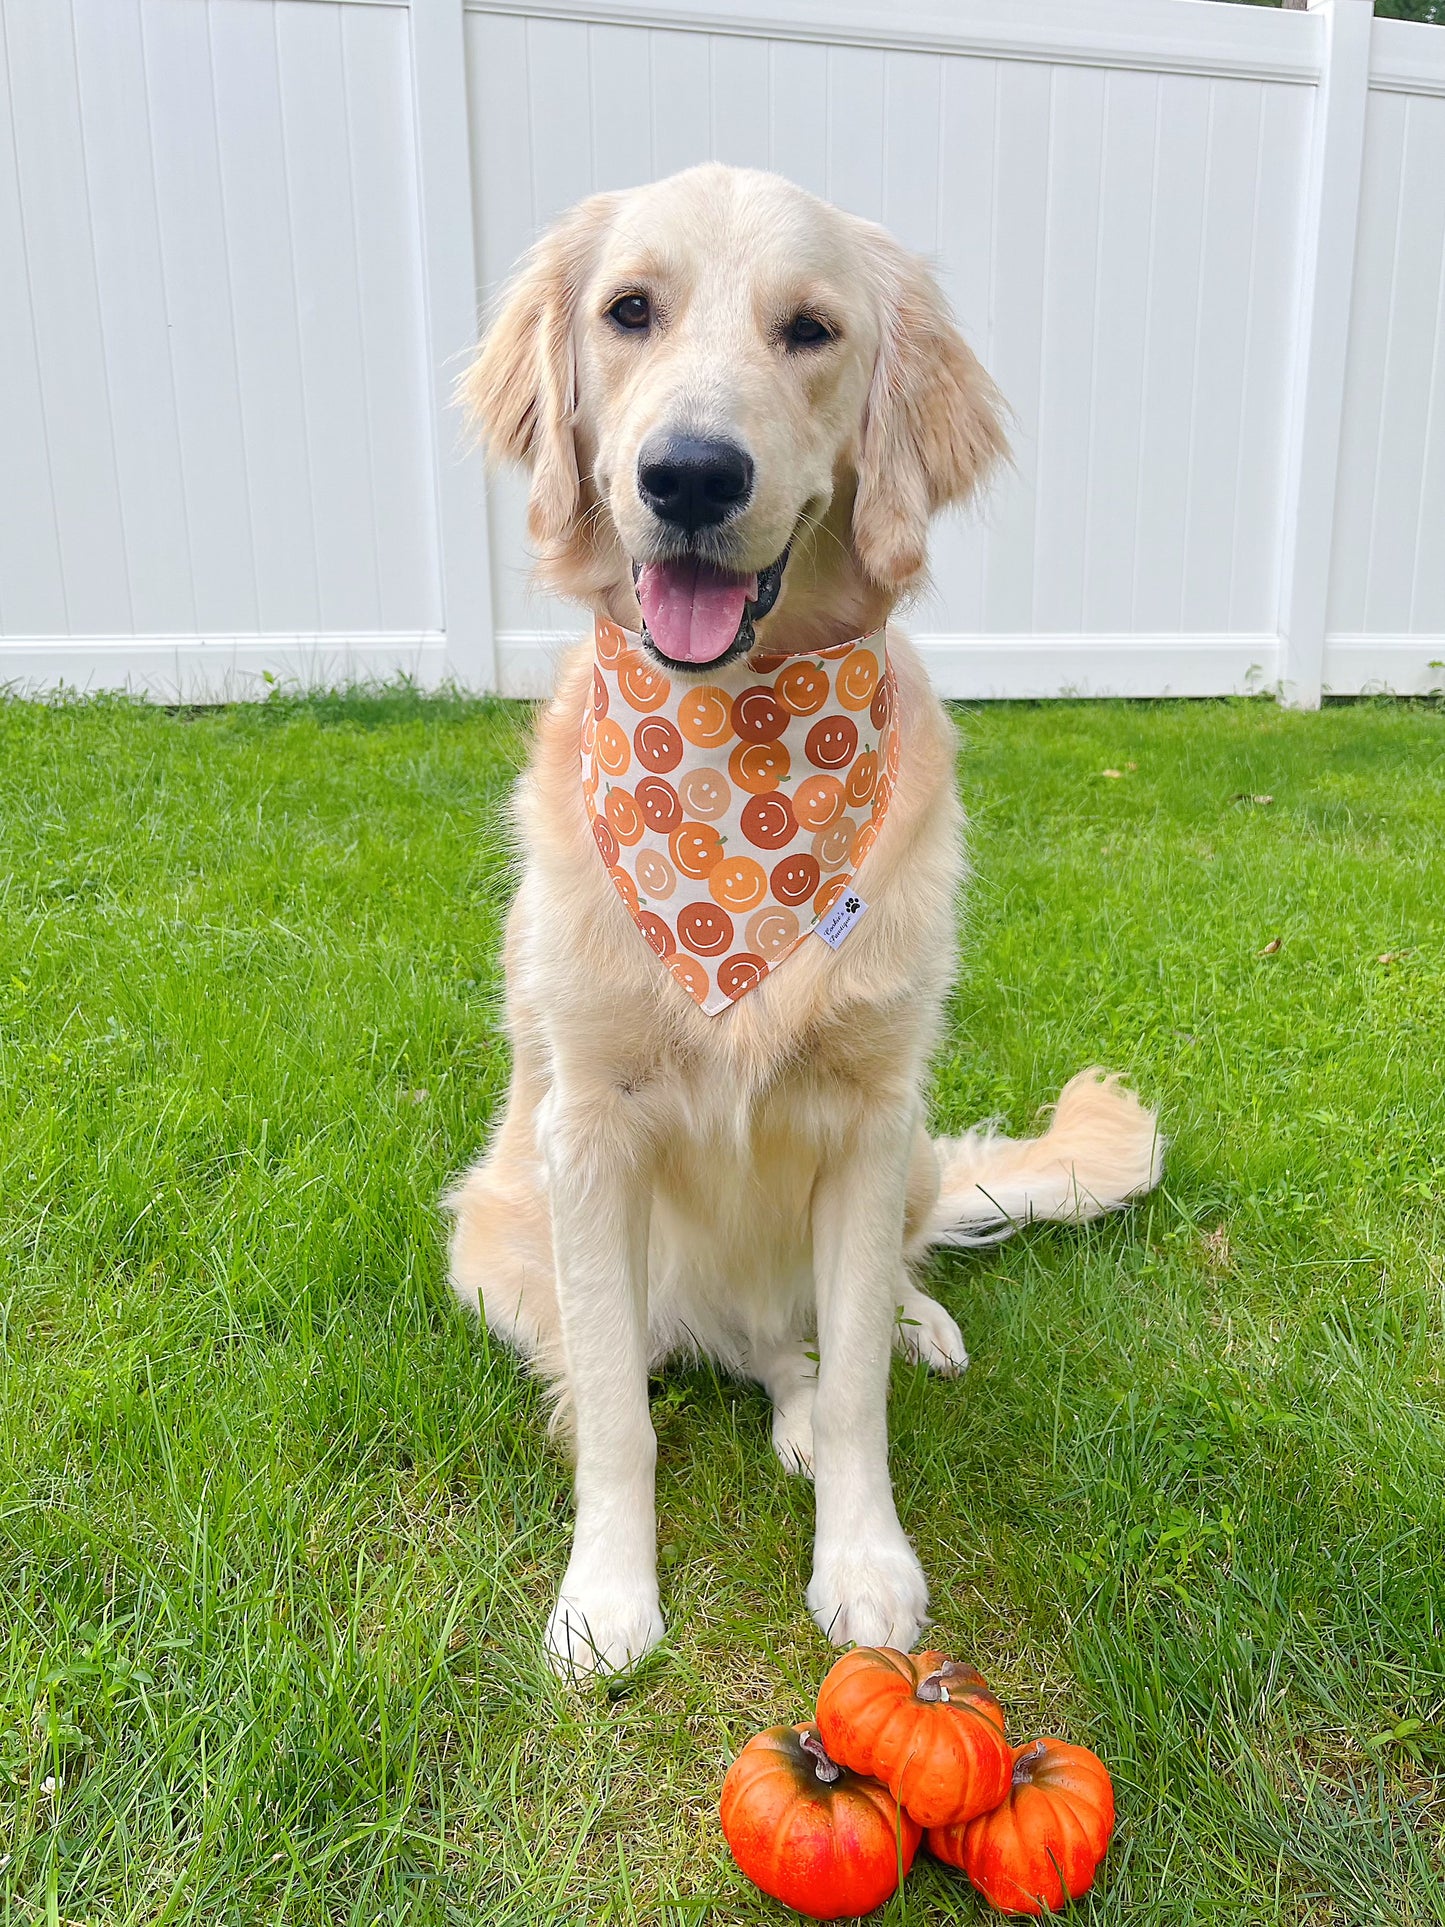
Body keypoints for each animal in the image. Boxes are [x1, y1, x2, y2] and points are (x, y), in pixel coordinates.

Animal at [452, 161, 1163, 1672]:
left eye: (812, 330)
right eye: (630, 311)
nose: (689, 474)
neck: (737, 753)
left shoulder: (869, 1110)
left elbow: (853, 1398)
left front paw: (866, 1560)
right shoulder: (586, 1131)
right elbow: (618, 1412)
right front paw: (606, 1595)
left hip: (903, 1153)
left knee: (837, 1320)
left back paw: (907, 1323)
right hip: (492, 1239)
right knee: (738, 1347)